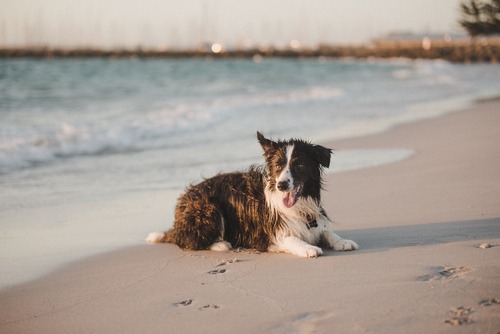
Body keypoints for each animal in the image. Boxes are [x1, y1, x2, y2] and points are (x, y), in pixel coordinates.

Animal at [146, 132, 358, 258]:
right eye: (278, 166)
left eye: (299, 165)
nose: (281, 185)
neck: (300, 206)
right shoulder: (269, 235)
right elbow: (291, 238)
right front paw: (308, 248)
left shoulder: (315, 220)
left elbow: (327, 232)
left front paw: (343, 241)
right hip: (209, 208)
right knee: (190, 241)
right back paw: (221, 244)